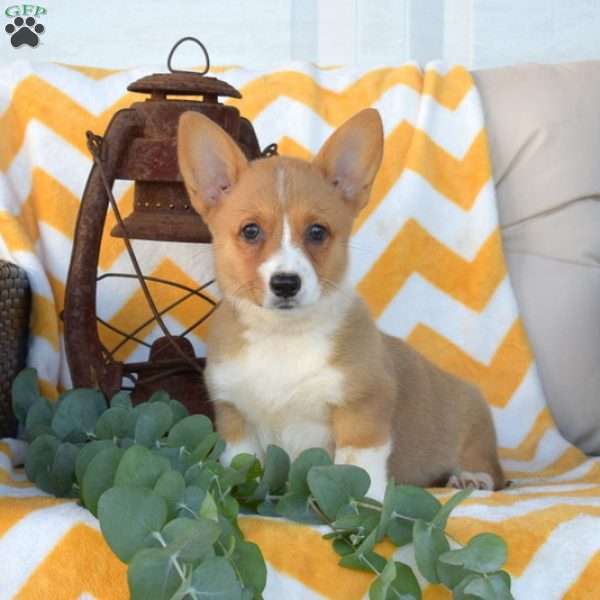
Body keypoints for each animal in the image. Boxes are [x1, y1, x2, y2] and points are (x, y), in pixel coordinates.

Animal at [176, 109, 504, 502]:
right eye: (250, 231)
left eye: (317, 232)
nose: (286, 283)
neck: (283, 337)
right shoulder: (235, 416)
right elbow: (245, 462)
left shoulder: (362, 408)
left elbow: (358, 468)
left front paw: (366, 504)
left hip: (473, 422)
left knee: (486, 464)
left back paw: (472, 477)